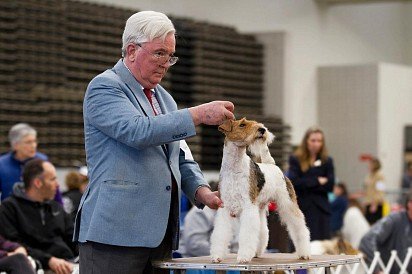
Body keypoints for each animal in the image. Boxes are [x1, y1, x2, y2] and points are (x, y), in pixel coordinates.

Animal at [211, 117, 310, 264]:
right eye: (242, 124)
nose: (262, 130)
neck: (235, 167)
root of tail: (273, 166)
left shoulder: (248, 205)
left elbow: (246, 234)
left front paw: (243, 257)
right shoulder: (225, 207)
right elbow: (220, 233)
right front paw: (217, 256)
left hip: (287, 203)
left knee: (300, 228)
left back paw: (305, 253)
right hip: (260, 207)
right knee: (263, 230)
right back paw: (257, 252)